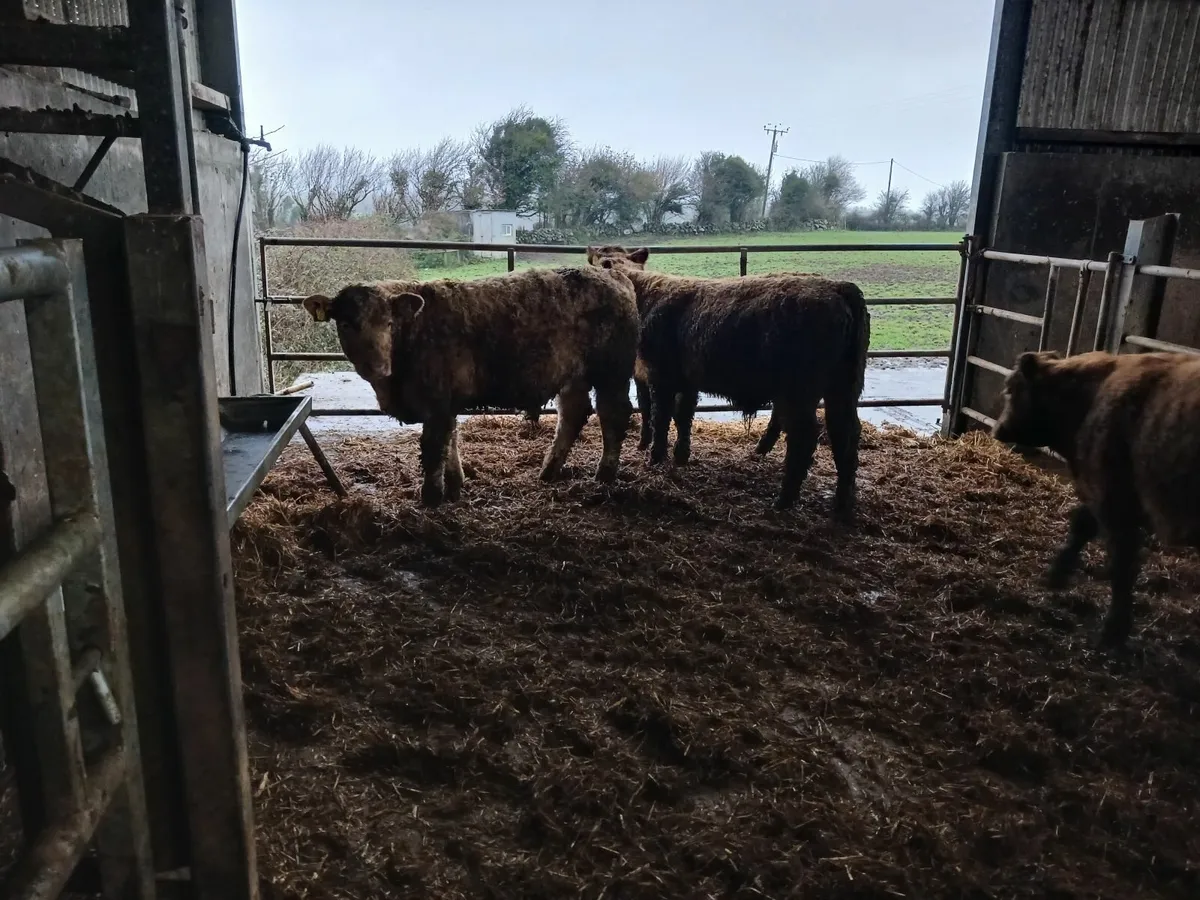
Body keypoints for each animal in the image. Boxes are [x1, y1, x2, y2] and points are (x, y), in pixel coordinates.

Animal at [301, 266, 639, 507]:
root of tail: (614, 275)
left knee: (613, 416)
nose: (378, 367)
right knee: (572, 415)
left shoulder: (437, 401)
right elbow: (450, 441)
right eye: (346, 324)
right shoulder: (446, 402)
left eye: (389, 323)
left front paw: (431, 497)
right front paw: (454, 486)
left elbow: (433, 447)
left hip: (612, 373)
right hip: (573, 377)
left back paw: (604, 475)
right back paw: (548, 472)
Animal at [586, 245, 871, 520]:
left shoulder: (659, 376)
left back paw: (784, 500)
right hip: (844, 387)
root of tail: (839, 287)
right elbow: (683, 416)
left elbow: (661, 417)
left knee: (805, 438)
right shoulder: (686, 381)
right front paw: (680, 455)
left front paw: (655, 457)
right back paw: (842, 505)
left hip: (799, 391)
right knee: (846, 434)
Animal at [993, 349, 1200, 649]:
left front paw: (1113, 632)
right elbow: (1081, 525)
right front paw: (1056, 574)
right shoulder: (1103, 495)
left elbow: (1121, 567)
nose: (998, 429)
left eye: (1011, 389)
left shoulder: (1114, 501)